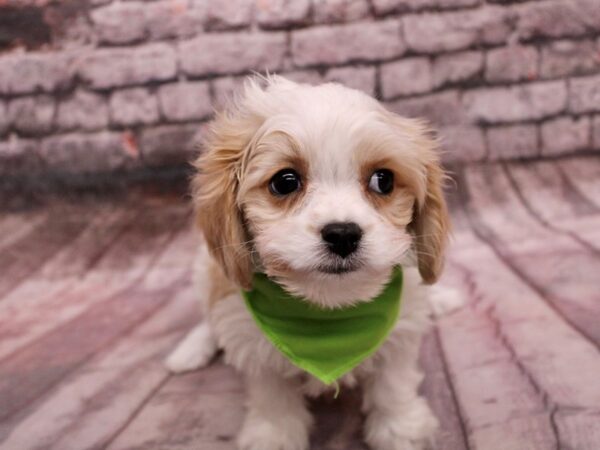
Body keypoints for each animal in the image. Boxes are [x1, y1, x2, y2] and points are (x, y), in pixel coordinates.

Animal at [166, 75, 458, 448]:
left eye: (384, 180)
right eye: (285, 181)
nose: (343, 234)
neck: (327, 313)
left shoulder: (400, 331)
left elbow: (393, 383)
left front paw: (401, 429)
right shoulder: (253, 344)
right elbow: (272, 397)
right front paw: (273, 436)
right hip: (206, 270)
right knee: (209, 318)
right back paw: (190, 351)